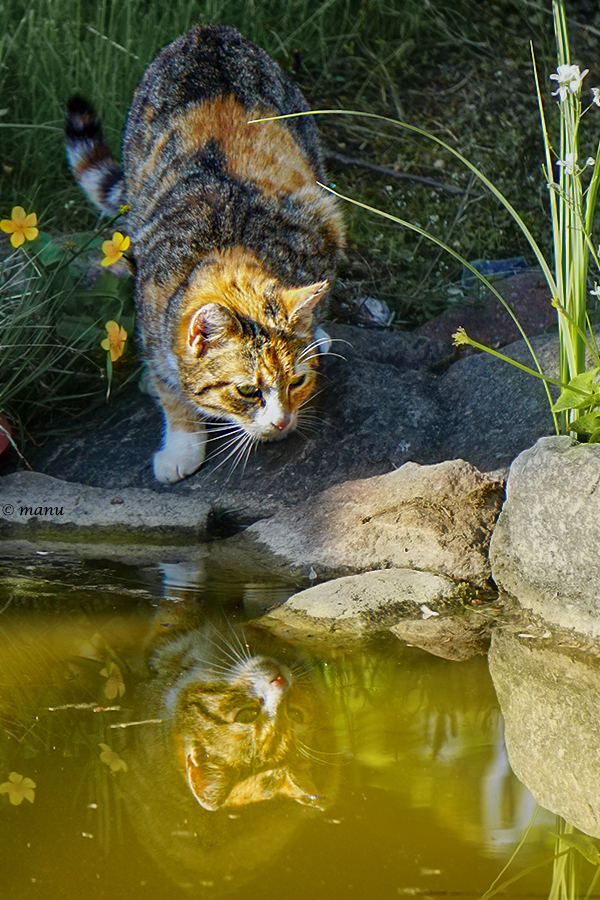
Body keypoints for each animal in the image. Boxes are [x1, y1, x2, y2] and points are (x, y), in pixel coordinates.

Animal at [63, 24, 344, 482]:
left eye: (296, 383)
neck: (226, 247)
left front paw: (313, 330)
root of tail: (206, 31)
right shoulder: (150, 299)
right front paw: (181, 443)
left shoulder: (322, 224)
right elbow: (171, 388)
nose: (282, 422)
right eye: (247, 390)